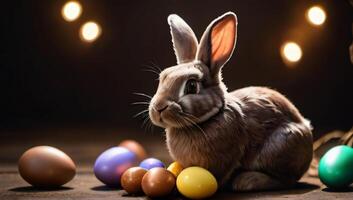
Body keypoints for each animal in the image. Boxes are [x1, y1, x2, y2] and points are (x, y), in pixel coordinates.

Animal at [147, 11, 312, 191]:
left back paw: (248, 181)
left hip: (282, 144)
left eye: (191, 86)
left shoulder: (222, 161)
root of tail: (307, 132)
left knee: (286, 180)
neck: (208, 118)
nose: (158, 108)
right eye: (162, 78)